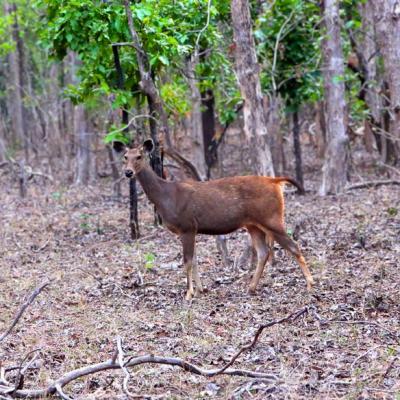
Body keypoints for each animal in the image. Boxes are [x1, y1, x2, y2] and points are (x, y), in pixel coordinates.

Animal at [123, 139, 314, 298]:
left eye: (139, 156)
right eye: (125, 157)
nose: (128, 172)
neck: (166, 197)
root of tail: (275, 182)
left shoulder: (187, 226)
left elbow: (187, 261)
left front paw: (189, 293)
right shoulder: (191, 229)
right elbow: (195, 260)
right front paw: (200, 290)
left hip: (271, 217)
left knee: (294, 246)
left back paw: (310, 284)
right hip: (253, 224)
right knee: (263, 252)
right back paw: (251, 287)